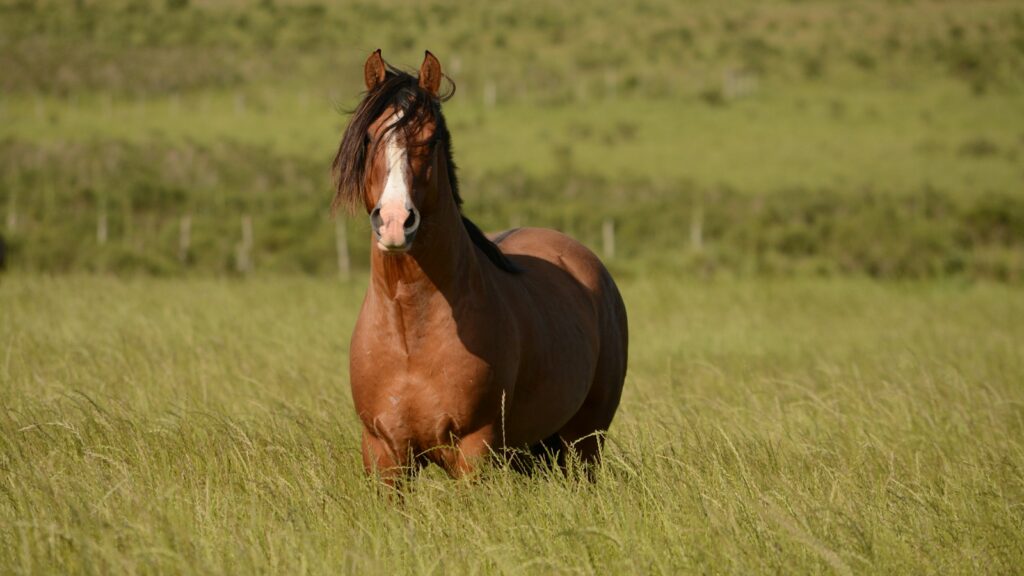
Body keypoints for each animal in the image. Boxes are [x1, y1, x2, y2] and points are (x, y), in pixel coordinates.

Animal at [332, 50, 628, 485]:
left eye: (432, 138)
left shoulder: (475, 450)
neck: (410, 335)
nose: (395, 221)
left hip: (584, 442)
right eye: (370, 137)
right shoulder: (383, 454)